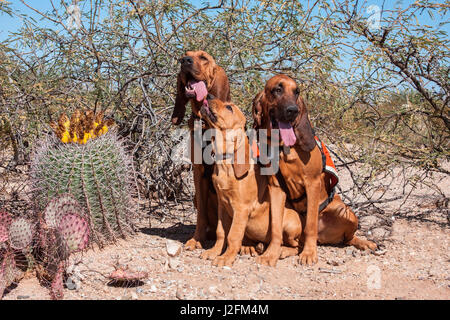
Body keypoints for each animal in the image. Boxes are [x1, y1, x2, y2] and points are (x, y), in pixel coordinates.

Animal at [171, 50, 230, 250]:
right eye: (185, 54)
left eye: (204, 58)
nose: (184, 61)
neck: (204, 123)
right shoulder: (198, 172)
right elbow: (201, 216)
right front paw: (196, 239)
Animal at [253, 74, 376, 266]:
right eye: (277, 89)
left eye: (297, 92)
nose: (293, 110)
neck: (283, 147)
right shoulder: (276, 188)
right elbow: (275, 227)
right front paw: (270, 254)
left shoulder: (312, 183)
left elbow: (310, 225)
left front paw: (309, 253)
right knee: (297, 241)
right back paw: (278, 250)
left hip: (346, 212)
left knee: (347, 238)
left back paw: (364, 243)